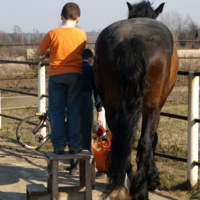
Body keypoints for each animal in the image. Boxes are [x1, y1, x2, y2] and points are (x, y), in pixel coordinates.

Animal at [94, 0, 178, 199]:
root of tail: (130, 39)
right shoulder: (155, 107)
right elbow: (152, 139)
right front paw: (153, 178)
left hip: (112, 106)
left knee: (121, 142)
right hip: (152, 107)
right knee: (144, 143)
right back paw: (140, 188)